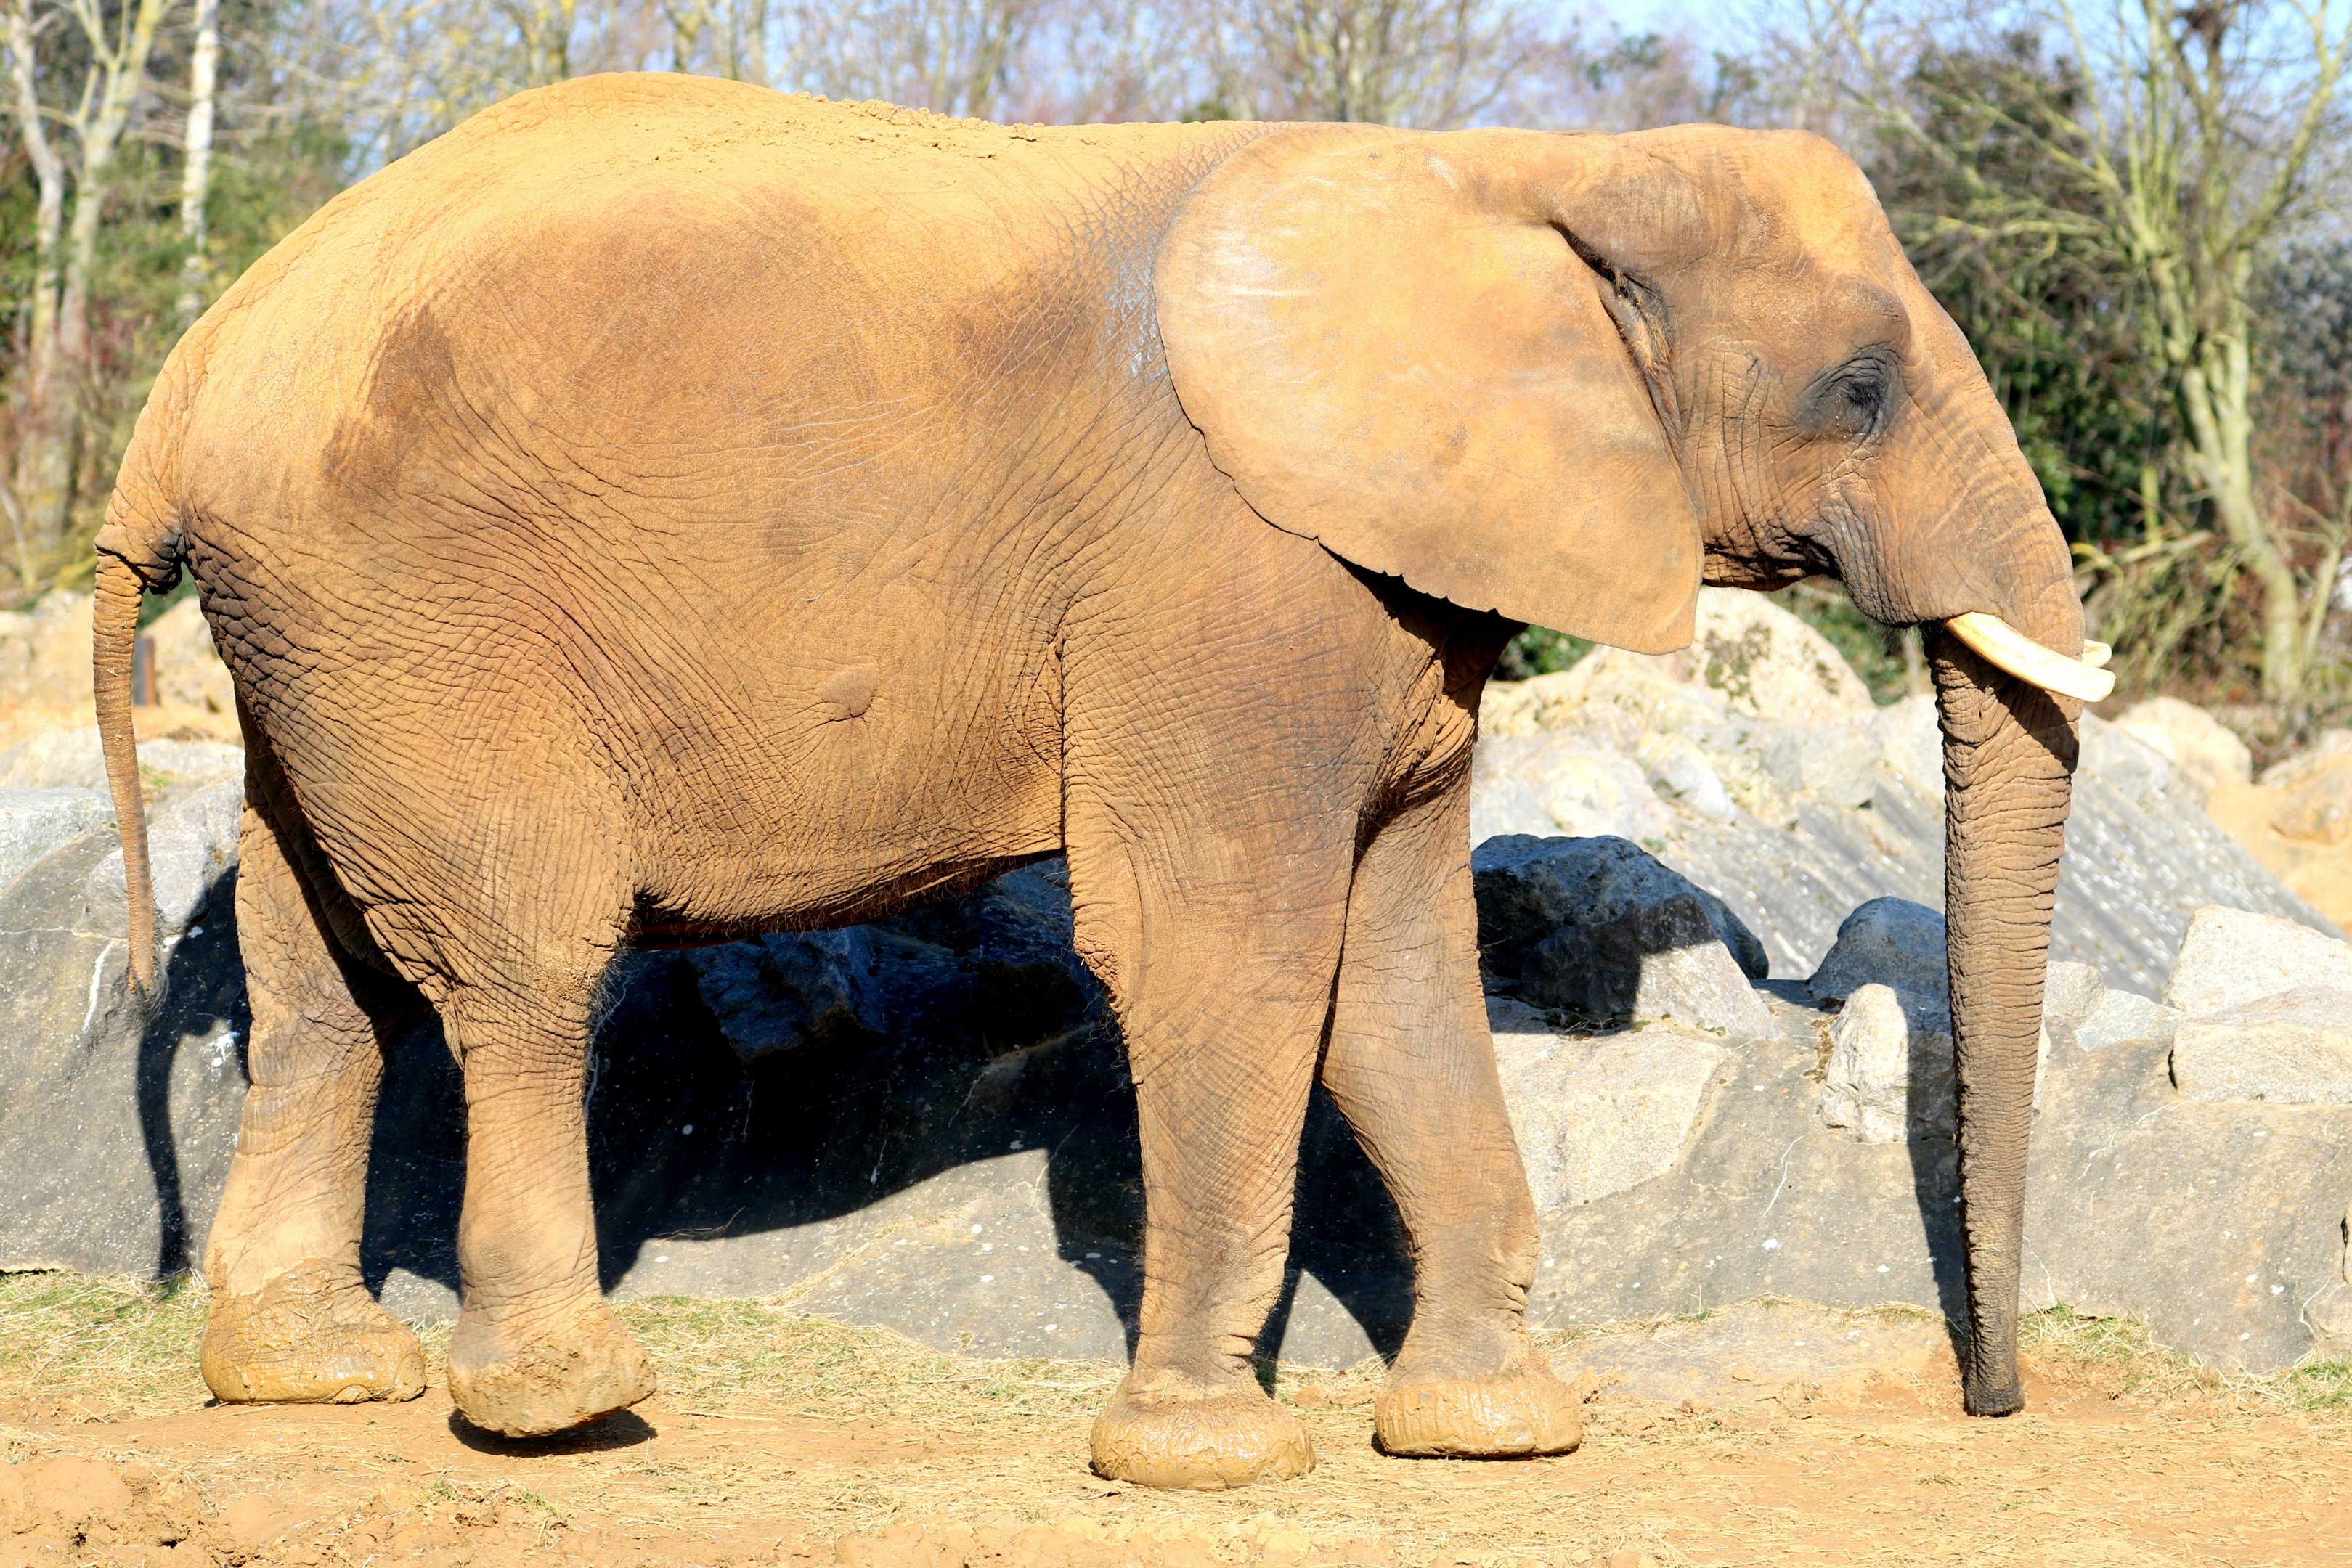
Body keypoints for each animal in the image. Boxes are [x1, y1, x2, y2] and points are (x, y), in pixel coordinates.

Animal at [90, 74, 2112, 1488]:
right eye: (1856, 390)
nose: (1991, 1404)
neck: (1503, 169)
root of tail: (179, 390)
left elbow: (1392, 969)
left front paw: (1500, 1432)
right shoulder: (1222, 569)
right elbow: (1223, 945)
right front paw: (1210, 1458)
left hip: (321, 645)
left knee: (322, 979)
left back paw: (307, 1376)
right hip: (416, 609)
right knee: (510, 959)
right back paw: (568, 1405)